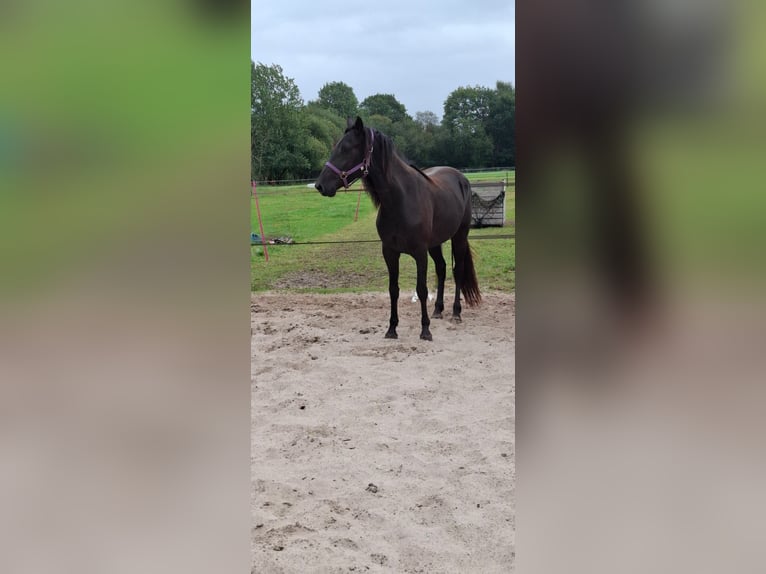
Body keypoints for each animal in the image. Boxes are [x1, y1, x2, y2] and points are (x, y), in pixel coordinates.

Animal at [314, 117, 480, 342]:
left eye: (346, 148)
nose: (320, 185)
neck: (400, 200)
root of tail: (461, 178)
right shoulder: (390, 252)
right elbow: (393, 289)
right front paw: (392, 328)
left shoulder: (420, 253)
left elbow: (421, 289)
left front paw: (425, 330)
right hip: (435, 243)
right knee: (442, 268)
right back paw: (438, 310)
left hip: (459, 236)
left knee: (458, 270)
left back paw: (455, 313)